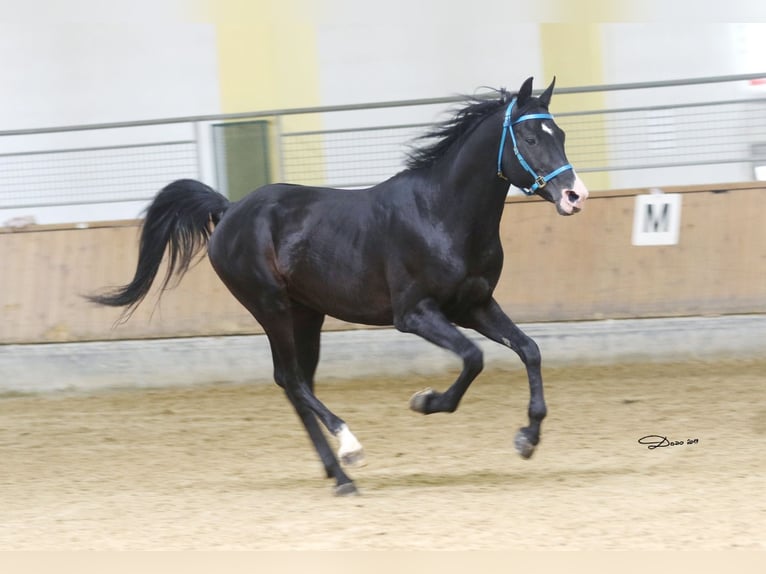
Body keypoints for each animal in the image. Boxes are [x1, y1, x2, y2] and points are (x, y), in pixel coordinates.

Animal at [91, 79, 592, 498]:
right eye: (531, 139)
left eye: (561, 134)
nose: (575, 196)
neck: (440, 213)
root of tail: (230, 210)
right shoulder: (415, 314)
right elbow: (473, 357)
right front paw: (426, 402)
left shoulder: (475, 305)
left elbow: (529, 350)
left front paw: (527, 439)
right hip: (271, 307)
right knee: (291, 380)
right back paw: (349, 451)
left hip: (307, 313)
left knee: (297, 384)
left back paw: (339, 476)